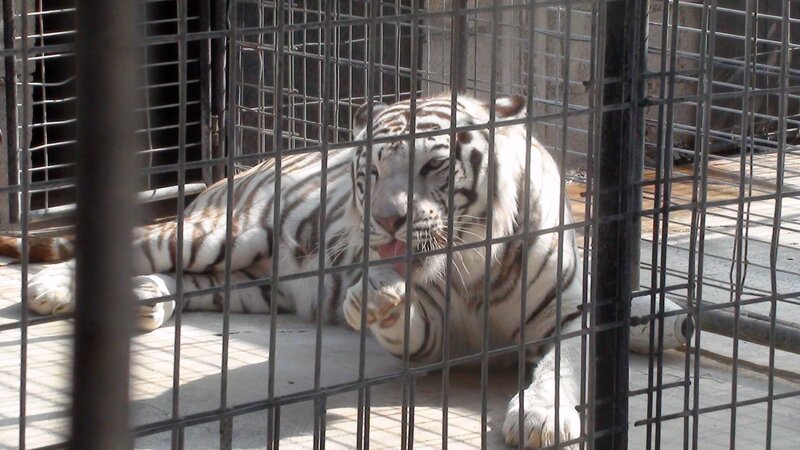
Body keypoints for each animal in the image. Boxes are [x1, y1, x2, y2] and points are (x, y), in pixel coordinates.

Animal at [5, 94, 586, 448]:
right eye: (371, 171)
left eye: (434, 165)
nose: (385, 221)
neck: (472, 265)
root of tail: (233, 175)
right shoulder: (436, 336)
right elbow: (405, 324)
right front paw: (374, 298)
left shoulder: (571, 317)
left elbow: (563, 366)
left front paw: (540, 417)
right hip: (220, 235)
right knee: (138, 246)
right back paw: (52, 289)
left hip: (246, 285)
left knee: (178, 283)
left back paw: (143, 301)